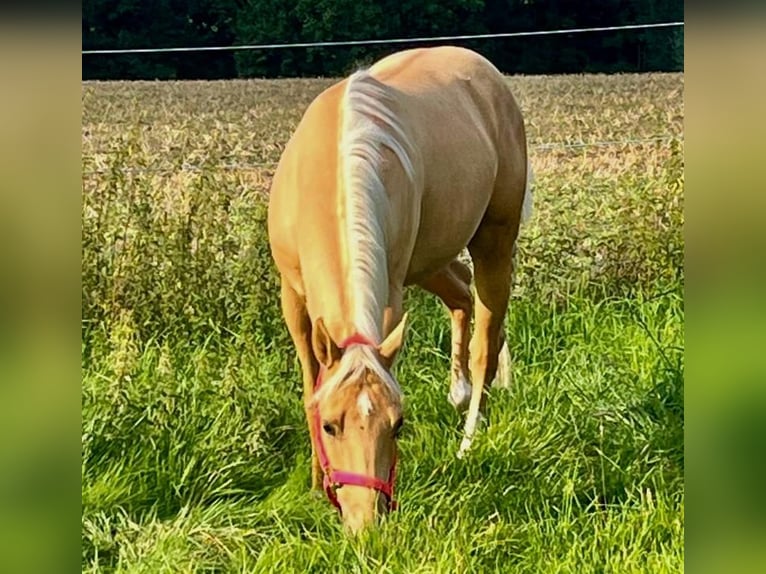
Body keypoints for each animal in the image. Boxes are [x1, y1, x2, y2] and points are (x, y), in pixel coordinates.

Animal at [267, 45, 533, 533]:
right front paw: (314, 484)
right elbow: (310, 381)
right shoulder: (292, 297)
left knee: (486, 339)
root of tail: (484, 71)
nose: (365, 525)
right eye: (331, 425)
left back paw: (469, 438)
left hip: (493, 242)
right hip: (430, 261)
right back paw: (457, 392)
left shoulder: (390, 293)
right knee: (461, 295)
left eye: (398, 425)